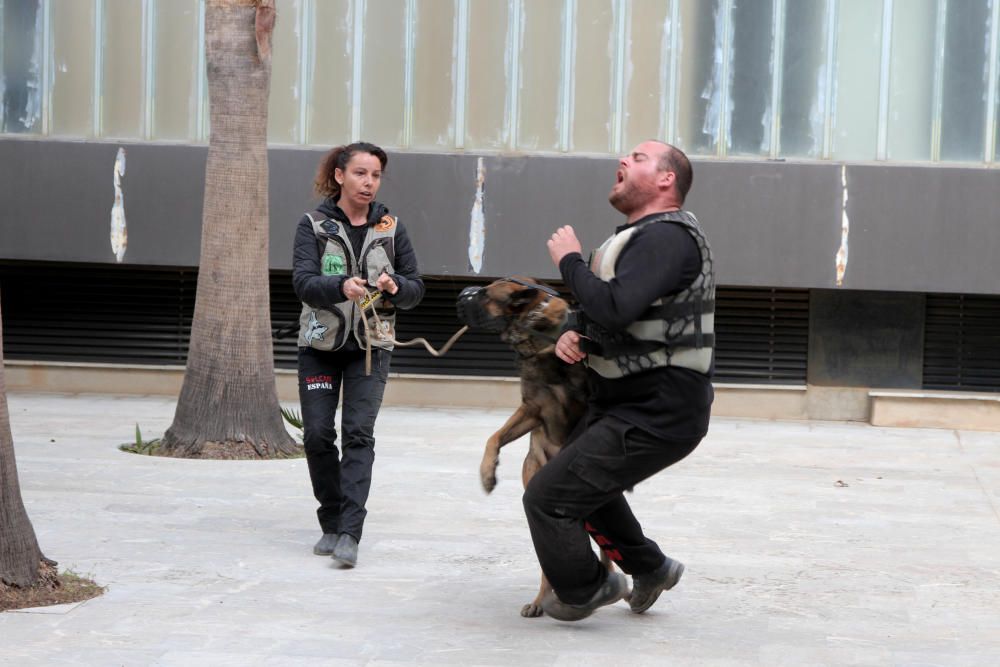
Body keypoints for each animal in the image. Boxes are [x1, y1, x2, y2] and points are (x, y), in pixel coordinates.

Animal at [458, 274, 612, 620]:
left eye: (485, 294)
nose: (461, 296)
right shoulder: (532, 410)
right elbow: (494, 437)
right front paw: (487, 474)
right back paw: (543, 600)